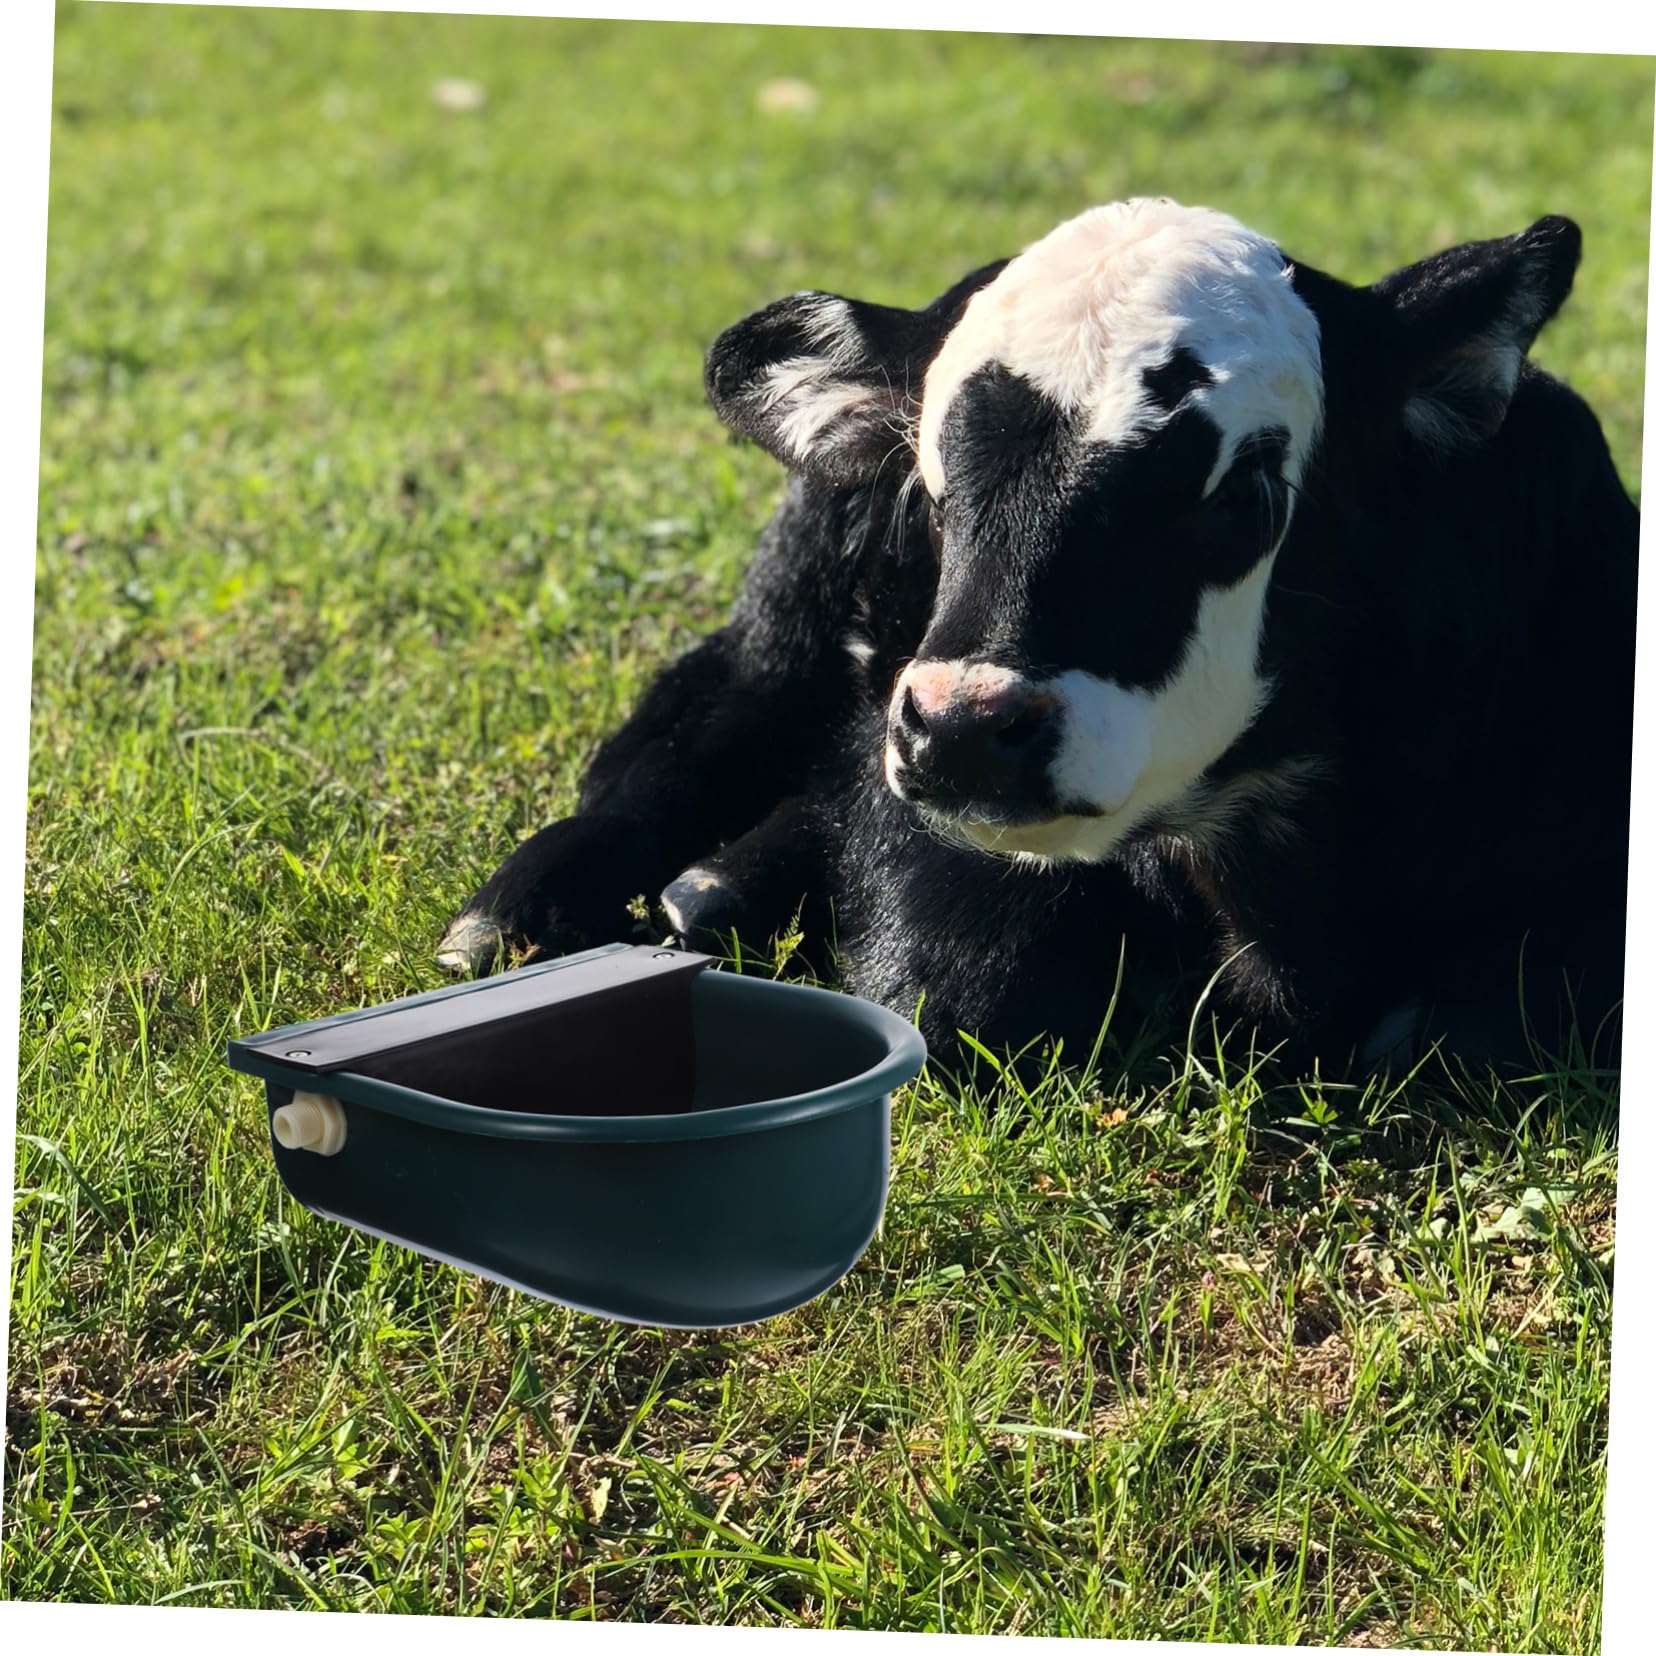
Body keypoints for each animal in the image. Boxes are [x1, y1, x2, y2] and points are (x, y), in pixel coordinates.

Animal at [439, 199, 1638, 1078]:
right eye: (931, 485)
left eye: (1243, 490)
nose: (967, 729)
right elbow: (968, 993)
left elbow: (1466, 1023)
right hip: (782, 627)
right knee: (673, 744)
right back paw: (529, 916)